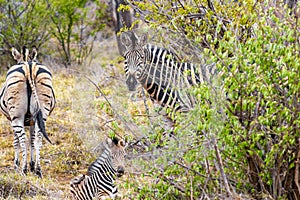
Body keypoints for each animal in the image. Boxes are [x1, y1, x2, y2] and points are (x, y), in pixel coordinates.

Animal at [0, 47, 55, 178]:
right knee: (38, 138)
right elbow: (32, 140)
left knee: (23, 139)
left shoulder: (12, 119)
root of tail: (29, 68)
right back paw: (38, 170)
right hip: (42, 113)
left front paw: (16, 165)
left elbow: (16, 141)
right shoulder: (32, 120)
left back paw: (23, 170)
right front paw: (32, 164)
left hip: (17, 116)